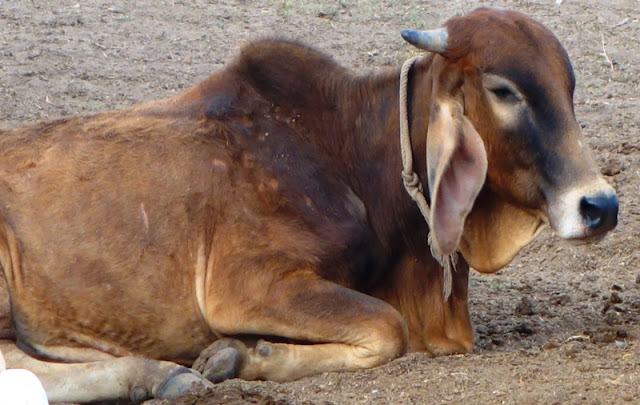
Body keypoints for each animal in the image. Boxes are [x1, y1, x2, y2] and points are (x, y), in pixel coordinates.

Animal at [0, 7, 620, 402]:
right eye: (503, 89)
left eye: (568, 87)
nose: (601, 206)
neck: (347, 153)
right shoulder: (246, 283)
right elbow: (388, 328)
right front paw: (241, 356)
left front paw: (237, 356)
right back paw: (161, 374)